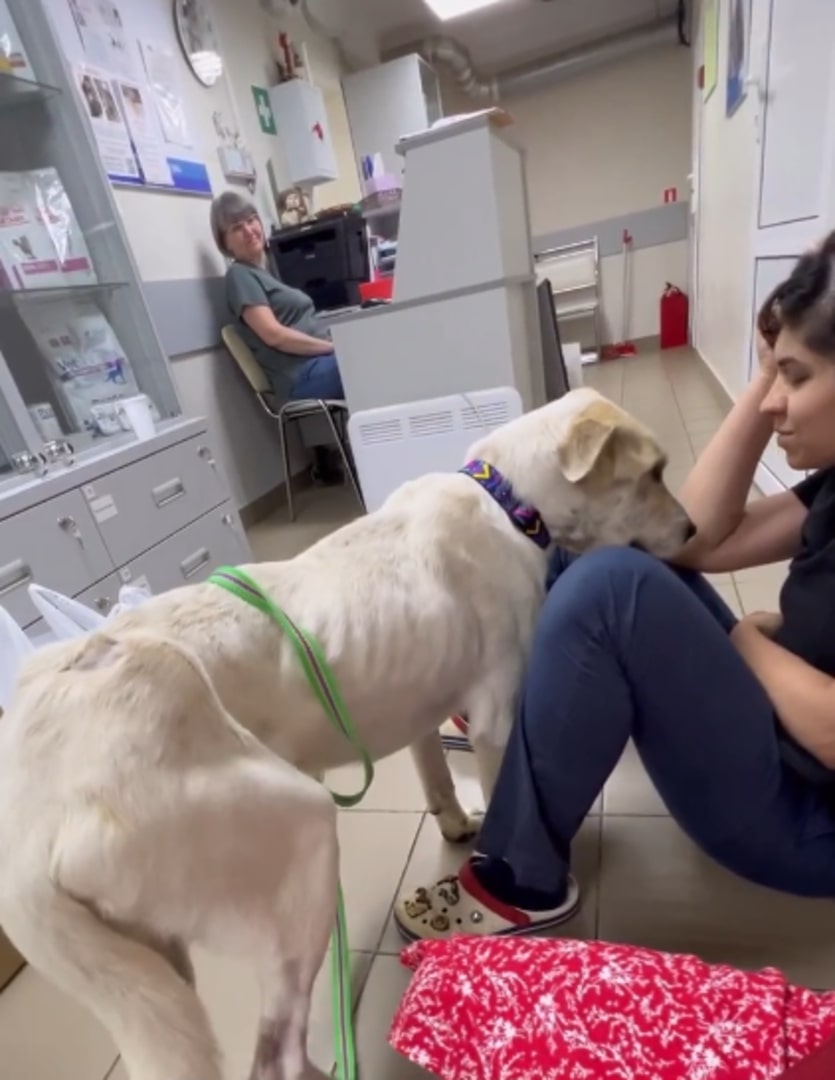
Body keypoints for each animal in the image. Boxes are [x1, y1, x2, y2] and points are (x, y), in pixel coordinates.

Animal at [0, 388, 691, 1080]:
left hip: (150, 964)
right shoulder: (497, 718)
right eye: (654, 474)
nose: (693, 532)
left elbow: (437, 780)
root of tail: (25, 837)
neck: (507, 499)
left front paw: (456, 826)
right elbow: (503, 800)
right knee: (273, 1054)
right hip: (301, 837)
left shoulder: (421, 707)